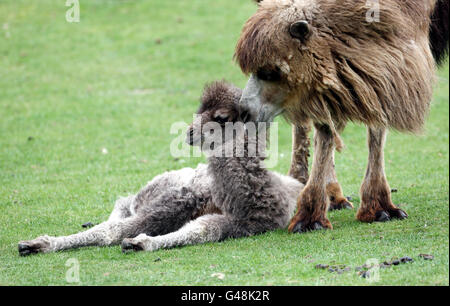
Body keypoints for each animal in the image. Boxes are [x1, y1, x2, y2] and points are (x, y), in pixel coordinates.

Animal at [17, 81, 302, 256]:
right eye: (198, 110)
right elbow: (114, 231)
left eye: (221, 117)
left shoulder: (244, 225)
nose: (189, 133)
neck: (257, 192)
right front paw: (37, 243)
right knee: (125, 201)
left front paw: (140, 243)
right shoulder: (179, 201)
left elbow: (200, 230)